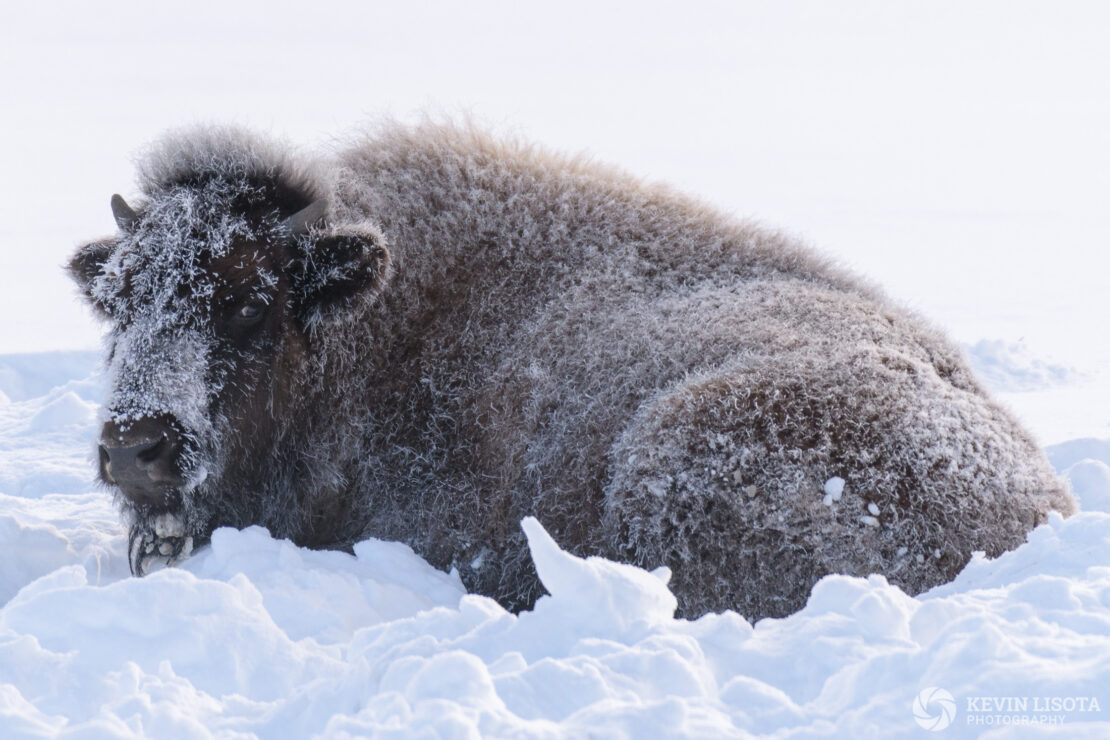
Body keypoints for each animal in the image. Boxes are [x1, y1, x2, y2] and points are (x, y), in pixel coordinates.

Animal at [69, 121, 1074, 621]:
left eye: (247, 302)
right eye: (117, 299)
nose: (135, 447)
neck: (368, 315)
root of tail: (1034, 510)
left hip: (669, 457)